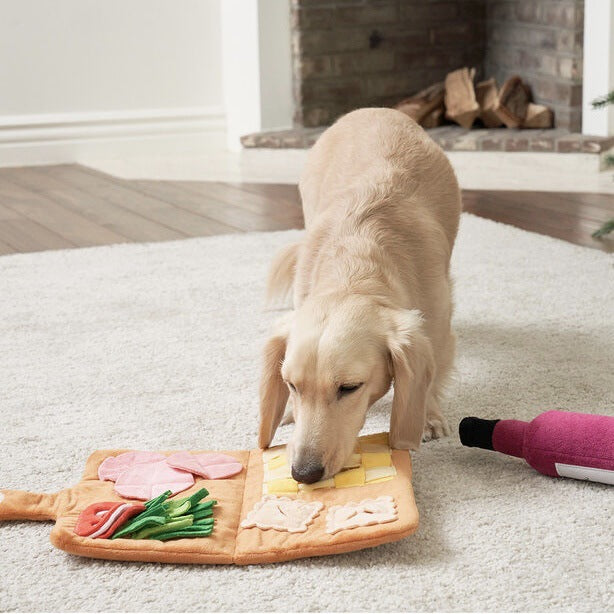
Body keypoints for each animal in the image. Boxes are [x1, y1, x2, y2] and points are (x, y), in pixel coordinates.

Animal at [258, 109, 462, 486]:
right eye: (291, 385)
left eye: (349, 387)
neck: (355, 270)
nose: (304, 473)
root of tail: (373, 110)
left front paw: (427, 417)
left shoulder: (437, 330)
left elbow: (431, 376)